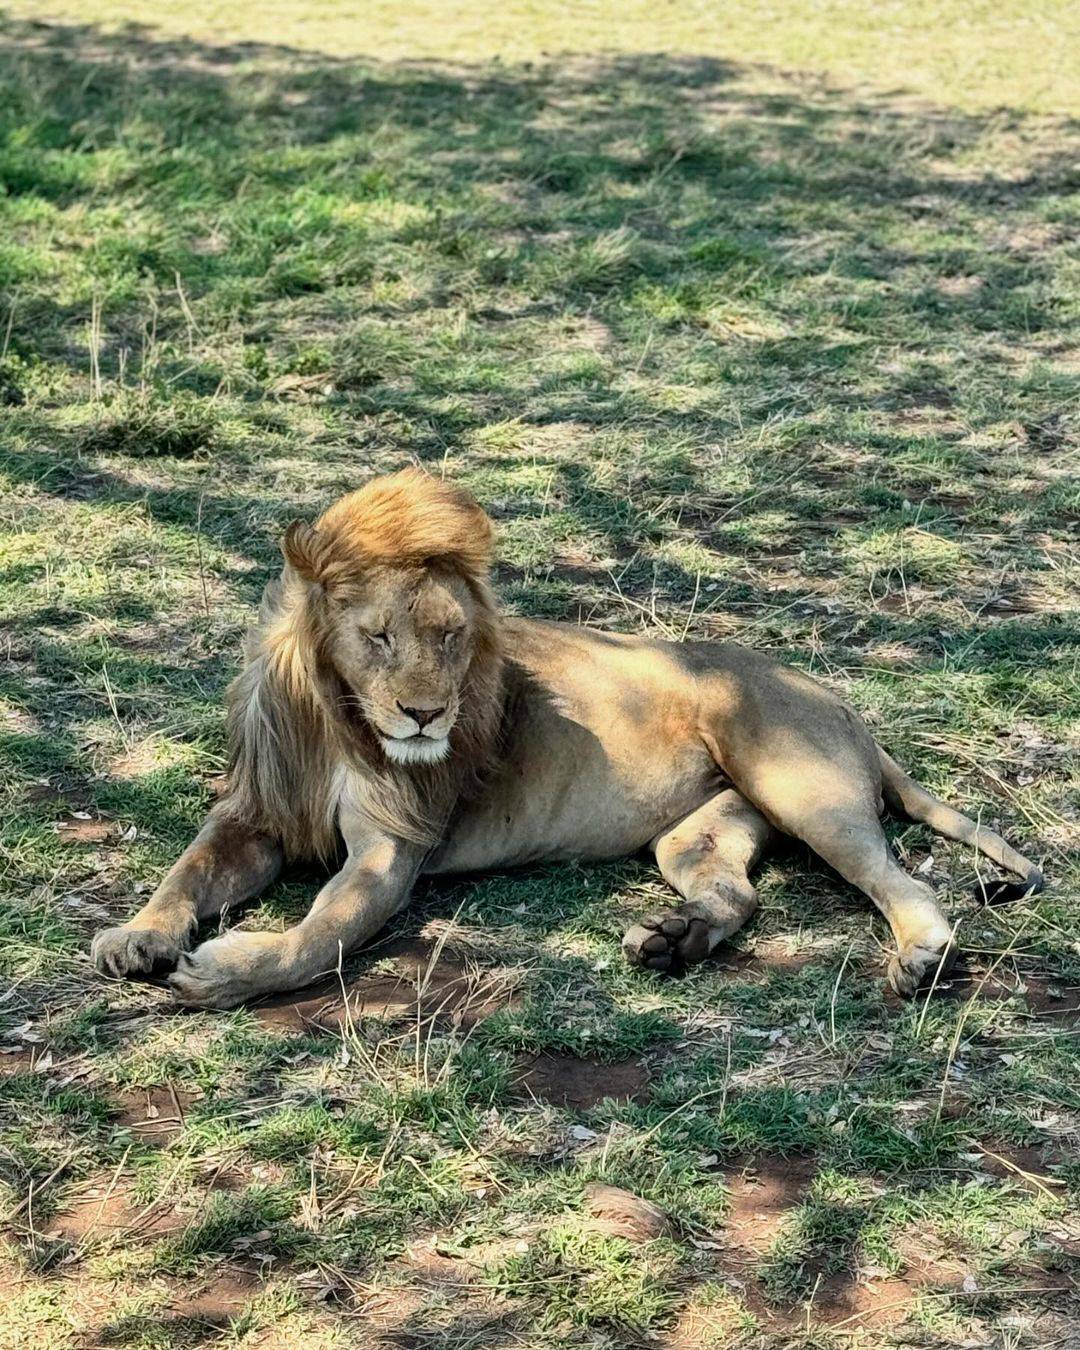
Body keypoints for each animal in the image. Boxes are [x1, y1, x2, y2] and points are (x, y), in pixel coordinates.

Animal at [95, 469, 1047, 1009]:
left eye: (452, 638)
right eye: (379, 638)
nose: (426, 716)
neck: (338, 721)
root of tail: (843, 702)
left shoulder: (388, 849)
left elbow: (316, 937)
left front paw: (224, 974)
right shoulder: (252, 815)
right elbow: (186, 872)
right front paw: (136, 937)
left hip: (798, 783)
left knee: (902, 881)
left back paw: (922, 958)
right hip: (699, 831)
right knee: (739, 894)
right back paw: (674, 941)